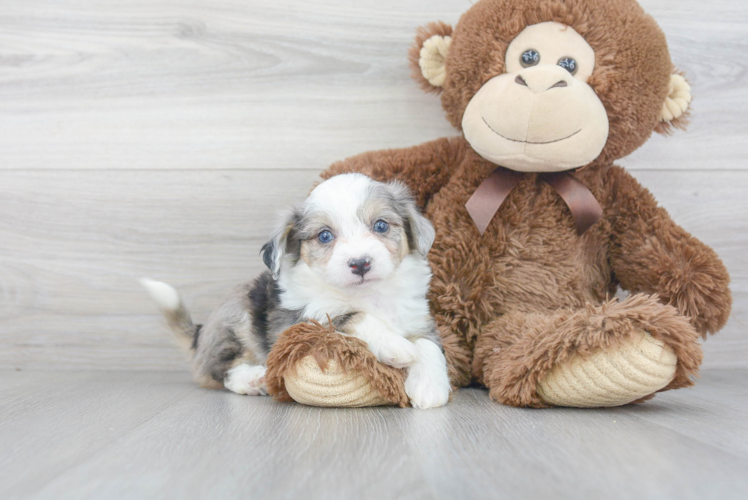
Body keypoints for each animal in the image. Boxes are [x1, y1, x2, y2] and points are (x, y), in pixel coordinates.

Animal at [144, 174, 452, 408]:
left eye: (381, 225)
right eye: (325, 235)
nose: (360, 263)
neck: (367, 293)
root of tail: (200, 333)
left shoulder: (419, 318)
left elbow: (428, 345)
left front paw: (430, 388)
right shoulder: (302, 321)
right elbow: (353, 316)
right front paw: (395, 345)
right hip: (237, 320)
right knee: (221, 369)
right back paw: (253, 379)